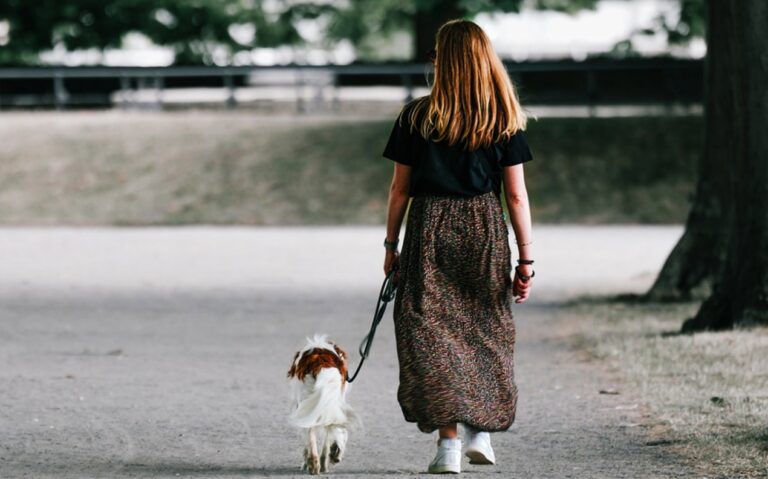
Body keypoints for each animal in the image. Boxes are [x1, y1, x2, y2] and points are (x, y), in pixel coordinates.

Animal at [288, 336, 360, 474]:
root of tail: (321, 361)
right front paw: (335, 452)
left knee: (313, 433)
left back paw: (315, 464)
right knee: (326, 431)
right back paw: (321, 464)